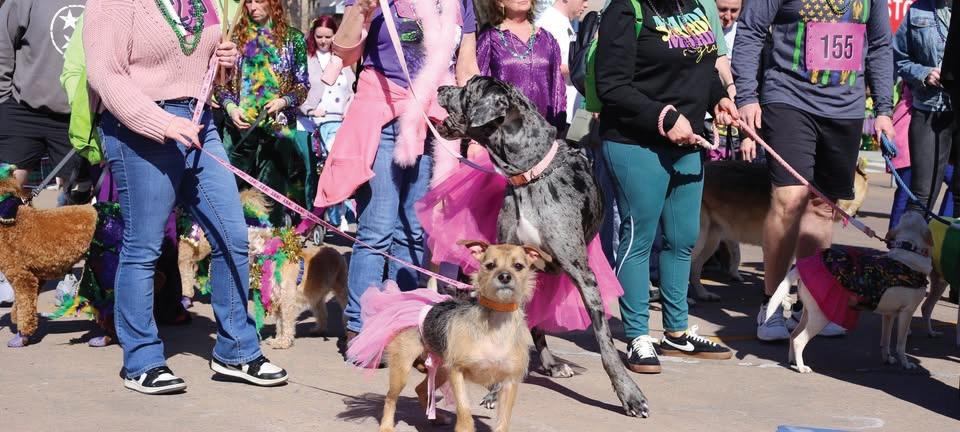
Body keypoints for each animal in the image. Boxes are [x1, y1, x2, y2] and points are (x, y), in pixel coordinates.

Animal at [0, 164, 98, 347]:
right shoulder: (37, 277)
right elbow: (23, 305)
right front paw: (16, 318)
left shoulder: (21, 276)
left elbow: (25, 307)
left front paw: (22, 336)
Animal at [348, 241, 548, 432]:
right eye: (490, 265)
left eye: (518, 266)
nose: (505, 276)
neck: (496, 323)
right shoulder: (457, 372)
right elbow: (464, 409)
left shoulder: (509, 382)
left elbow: (503, 422)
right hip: (403, 369)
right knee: (390, 398)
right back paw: (387, 426)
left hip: (442, 369)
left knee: (420, 389)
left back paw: (436, 419)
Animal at [435, 76, 649, 417]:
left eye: (468, 88)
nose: (441, 88)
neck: (529, 175)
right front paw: (495, 390)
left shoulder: (585, 277)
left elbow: (605, 344)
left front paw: (630, 395)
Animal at [765, 212, 933, 373]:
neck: (908, 249)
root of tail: (800, 268)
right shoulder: (907, 313)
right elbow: (901, 344)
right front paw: (906, 364)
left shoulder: (888, 315)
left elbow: (885, 340)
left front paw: (888, 359)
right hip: (820, 317)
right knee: (799, 340)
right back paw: (801, 368)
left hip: (809, 312)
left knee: (793, 335)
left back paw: (793, 361)